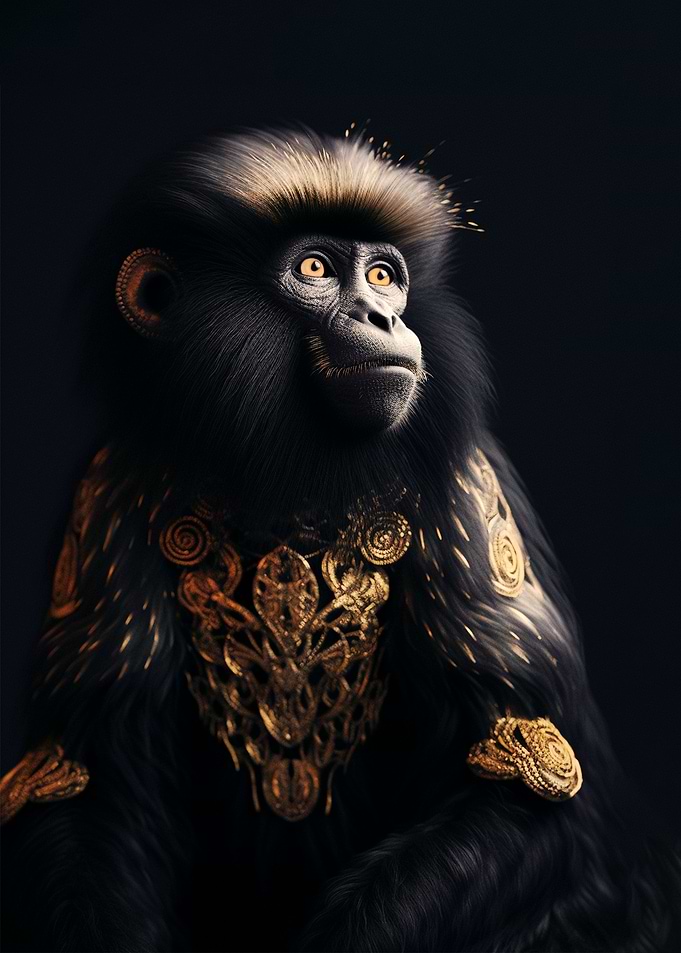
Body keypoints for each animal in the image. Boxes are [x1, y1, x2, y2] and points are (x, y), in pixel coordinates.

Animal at [1, 127, 679, 953]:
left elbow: (529, 772)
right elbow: (82, 785)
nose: (383, 318)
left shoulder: (466, 487)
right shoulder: (103, 495)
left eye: (383, 276)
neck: (284, 482)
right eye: (316, 269)